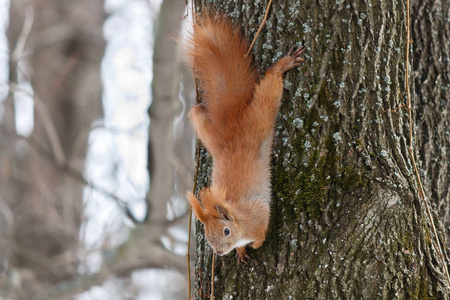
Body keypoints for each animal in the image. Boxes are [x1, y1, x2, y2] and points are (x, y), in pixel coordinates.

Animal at [183, 12, 306, 264]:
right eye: (207, 235)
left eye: (226, 231)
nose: (219, 252)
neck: (240, 219)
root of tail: (232, 130)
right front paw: (240, 252)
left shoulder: (259, 214)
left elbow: (262, 231)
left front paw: (256, 244)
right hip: (207, 134)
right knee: (197, 114)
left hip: (259, 121)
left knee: (269, 91)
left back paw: (282, 65)